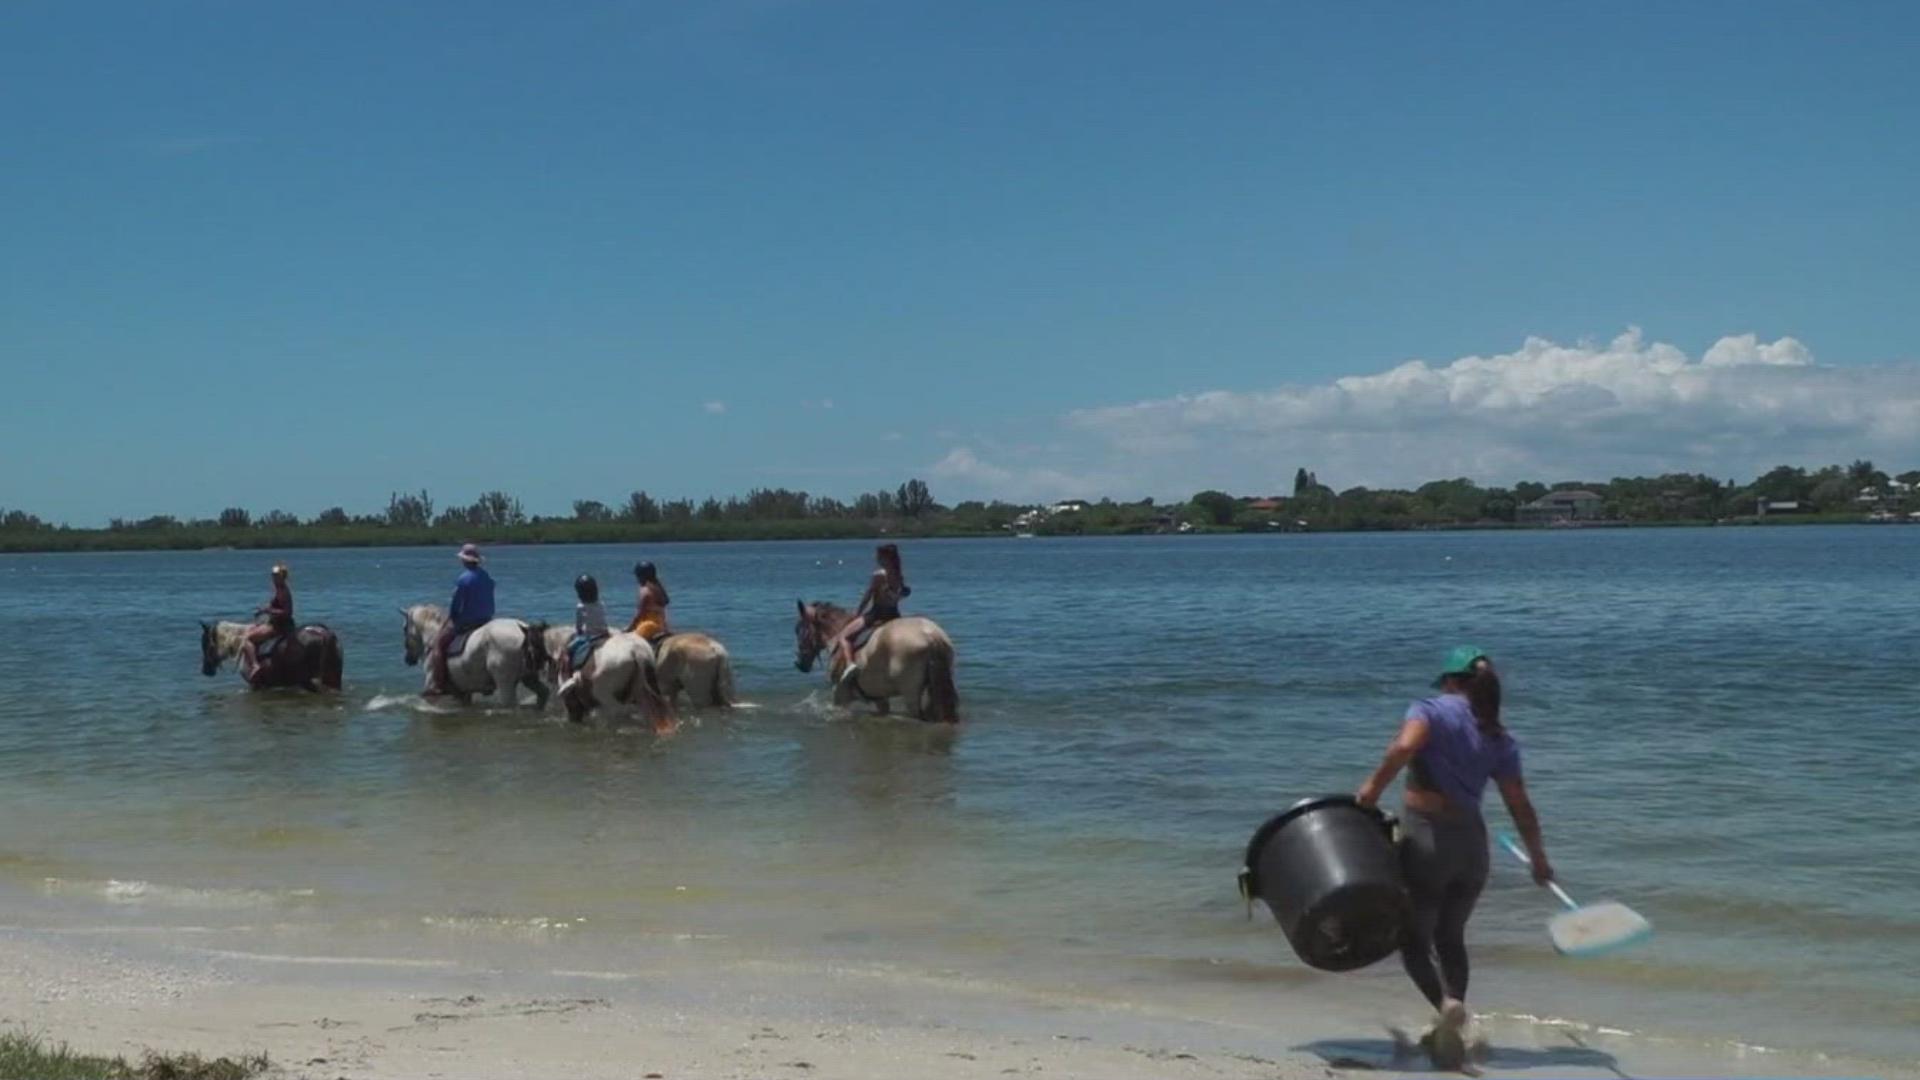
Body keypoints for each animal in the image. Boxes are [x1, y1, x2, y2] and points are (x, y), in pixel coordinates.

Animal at [397, 595, 549, 707]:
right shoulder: (463, 694)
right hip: (529, 678)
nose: (408, 659)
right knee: (543, 693)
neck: (433, 635)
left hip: (506, 684)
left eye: (404, 628)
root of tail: (523, 630)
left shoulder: (431, 688)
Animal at [791, 599, 956, 718]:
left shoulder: (840, 696)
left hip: (911, 694)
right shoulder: (880, 699)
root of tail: (930, 635)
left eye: (799, 629)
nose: (800, 664)